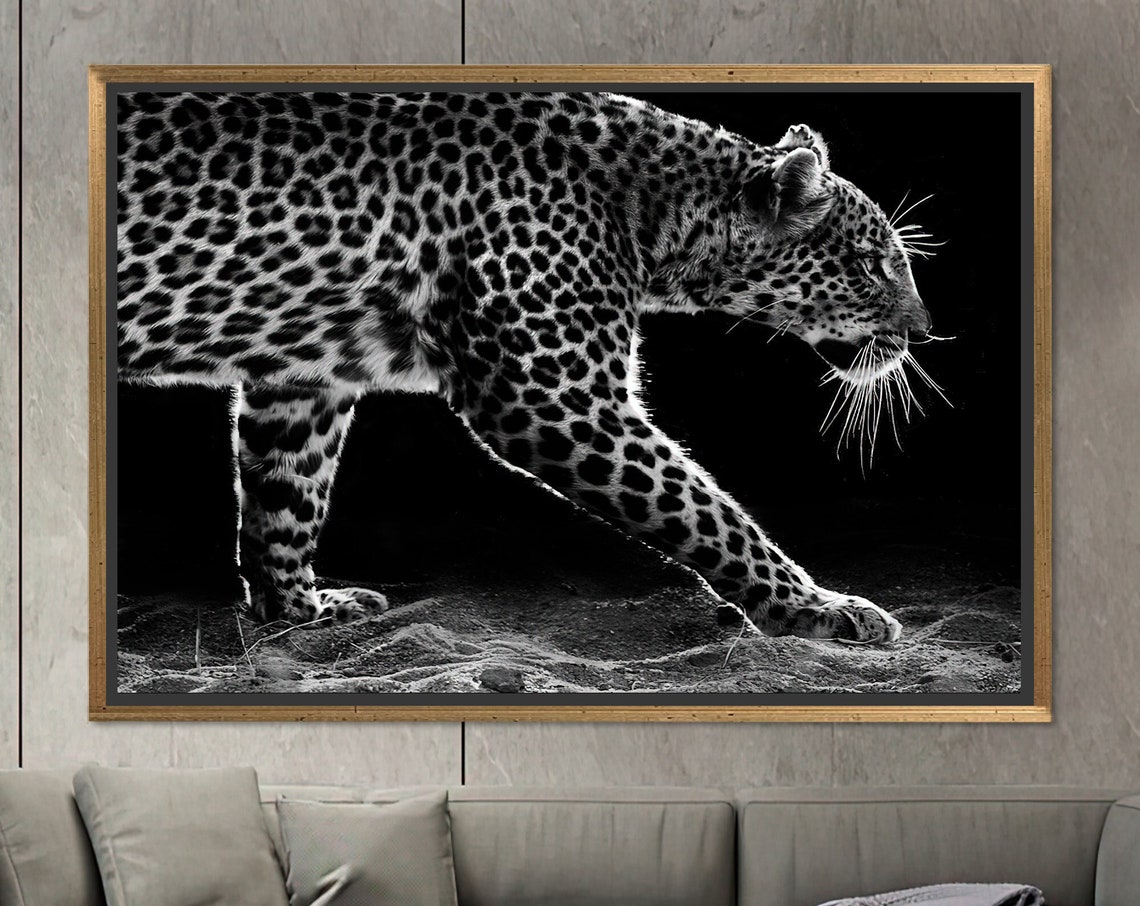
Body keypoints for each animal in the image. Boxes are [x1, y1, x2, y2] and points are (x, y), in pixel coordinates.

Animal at [115, 89, 938, 644]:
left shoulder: (305, 377)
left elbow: (287, 496)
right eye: (874, 265)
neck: (661, 214)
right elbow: (708, 511)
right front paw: (813, 607)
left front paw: (299, 609)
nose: (922, 333)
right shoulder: (555, 396)